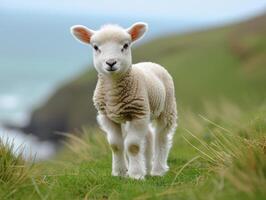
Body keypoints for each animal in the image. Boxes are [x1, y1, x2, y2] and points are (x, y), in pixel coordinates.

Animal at [71, 22, 178, 180]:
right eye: (95, 47)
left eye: (126, 45)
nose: (111, 62)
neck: (113, 94)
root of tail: (149, 62)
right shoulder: (108, 117)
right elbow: (116, 145)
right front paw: (120, 172)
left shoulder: (138, 115)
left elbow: (132, 146)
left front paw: (136, 174)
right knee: (149, 136)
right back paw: (147, 167)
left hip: (167, 107)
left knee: (162, 137)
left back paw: (158, 170)